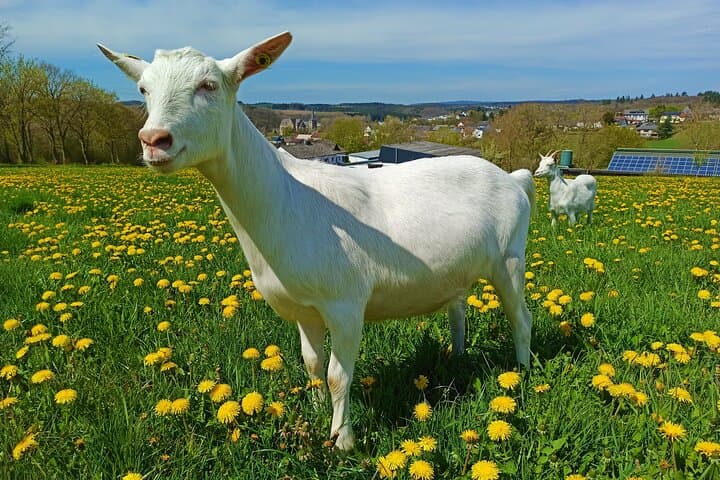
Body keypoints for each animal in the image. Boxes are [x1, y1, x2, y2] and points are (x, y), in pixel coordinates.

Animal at [98, 32, 533, 450]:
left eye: (209, 85)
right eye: (143, 89)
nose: (154, 140)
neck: (286, 198)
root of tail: (514, 178)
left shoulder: (346, 304)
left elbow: (339, 375)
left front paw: (342, 439)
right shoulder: (303, 308)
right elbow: (312, 365)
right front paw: (315, 410)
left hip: (510, 259)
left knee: (521, 318)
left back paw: (524, 373)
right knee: (458, 310)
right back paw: (457, 360)